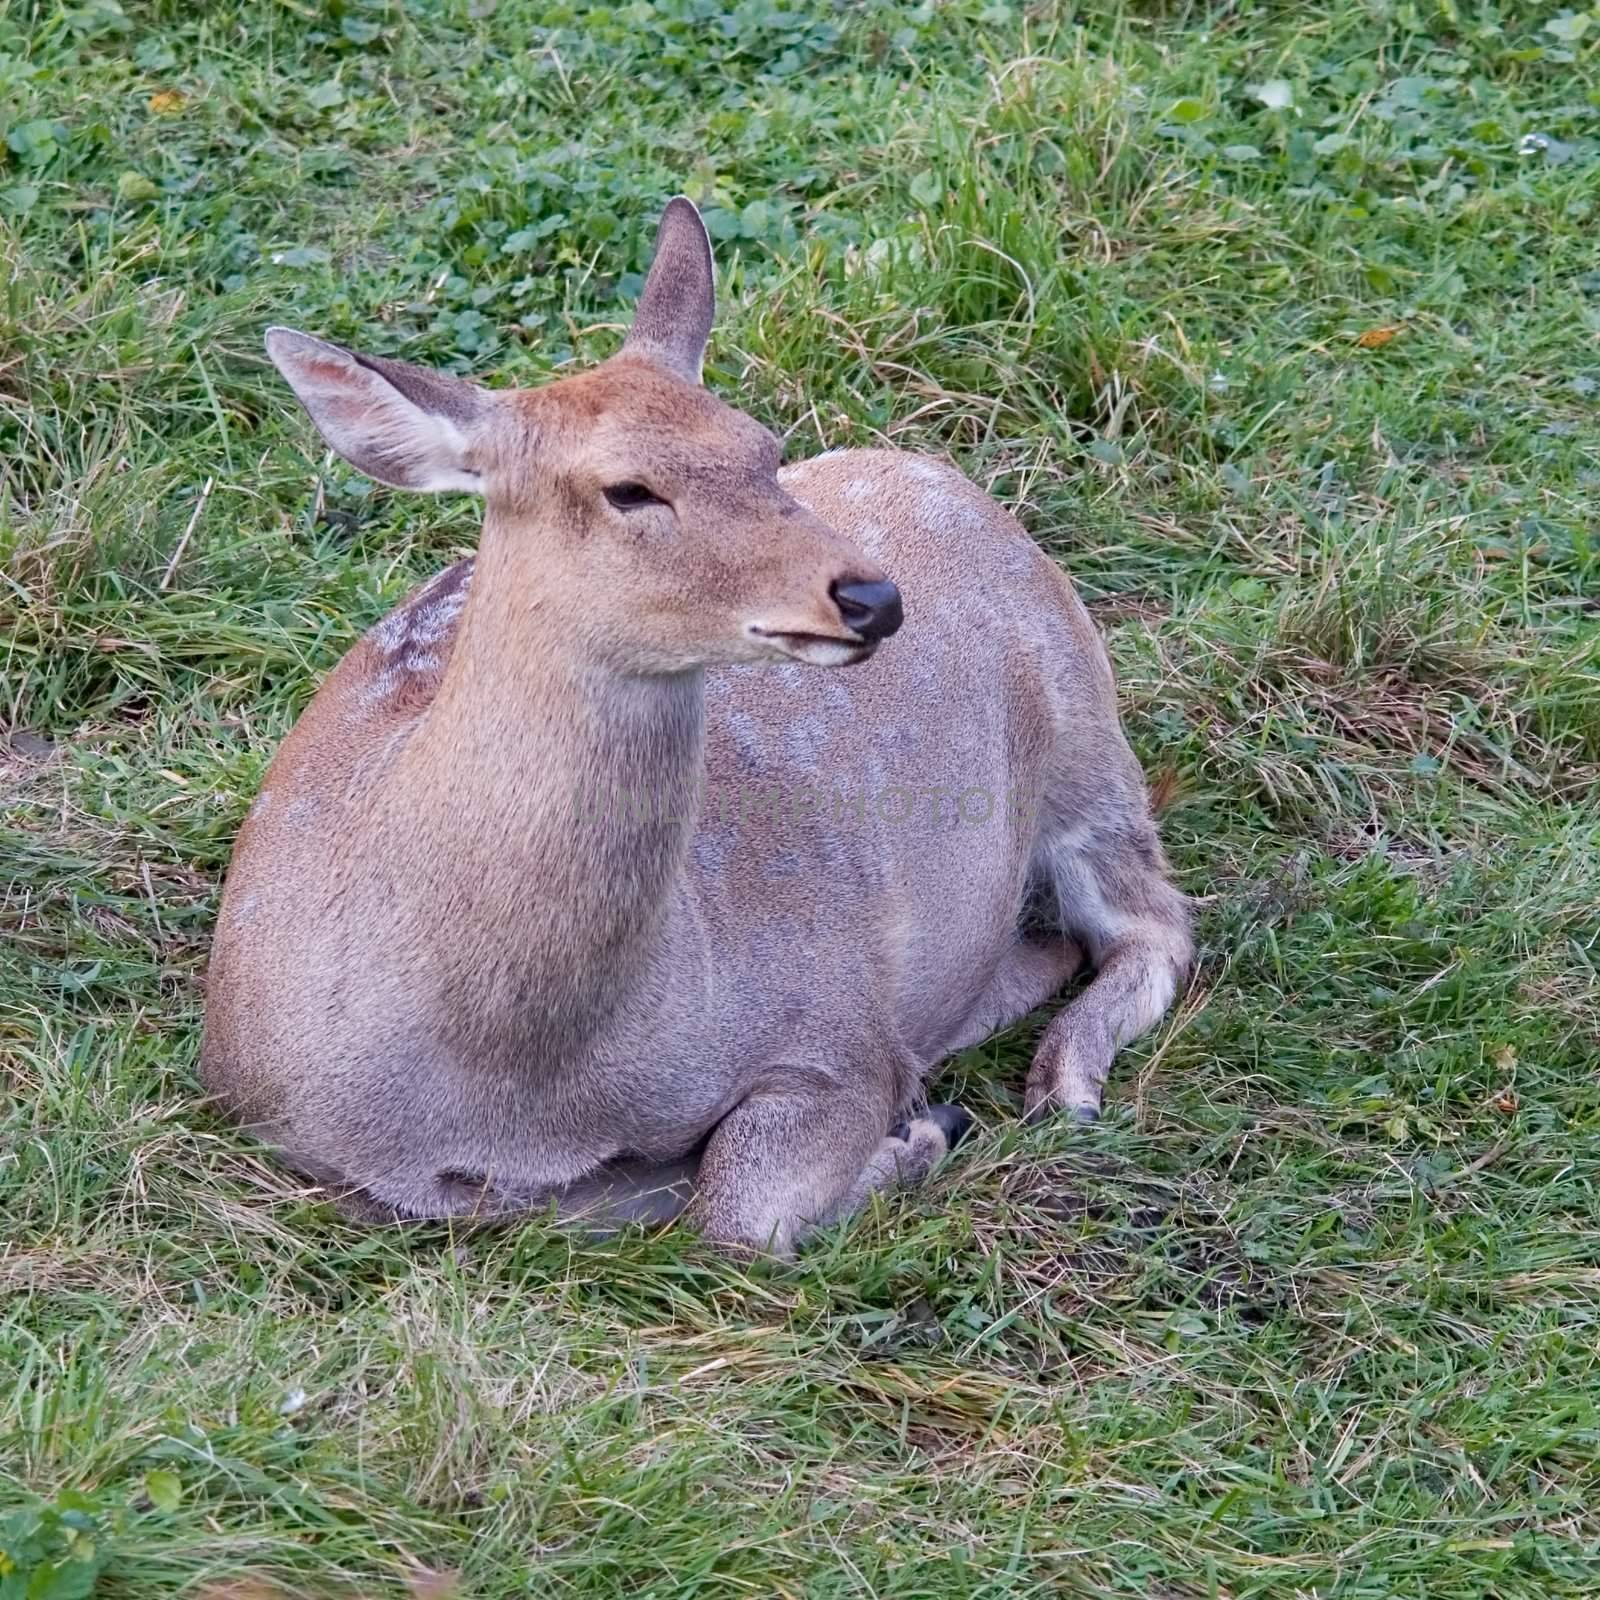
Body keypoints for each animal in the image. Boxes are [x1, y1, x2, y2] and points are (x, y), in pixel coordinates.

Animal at [203, 200, 1190, 1254]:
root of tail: (946, 478)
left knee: (1158, 921)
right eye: (628, 489)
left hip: (1084, 738)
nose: (872, 597)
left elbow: (737, 1209)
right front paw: (924, 1126)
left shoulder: (830, 1020)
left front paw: (924, 1130)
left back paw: (1063, 1084)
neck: (524, 1087)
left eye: (762, 443)